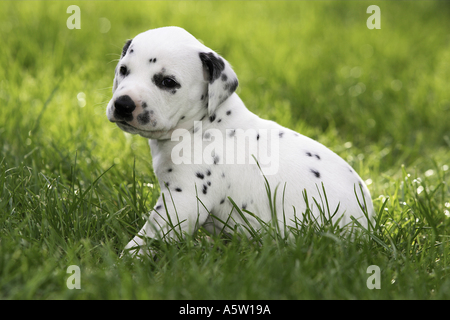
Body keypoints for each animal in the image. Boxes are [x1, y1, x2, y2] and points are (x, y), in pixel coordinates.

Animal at [105, 26, 372, 256]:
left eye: (167, 82)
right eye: (123, 70)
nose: (123, 104)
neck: (204, 124)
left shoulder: (182, 199)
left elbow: (146, 237)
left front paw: (125, 261)